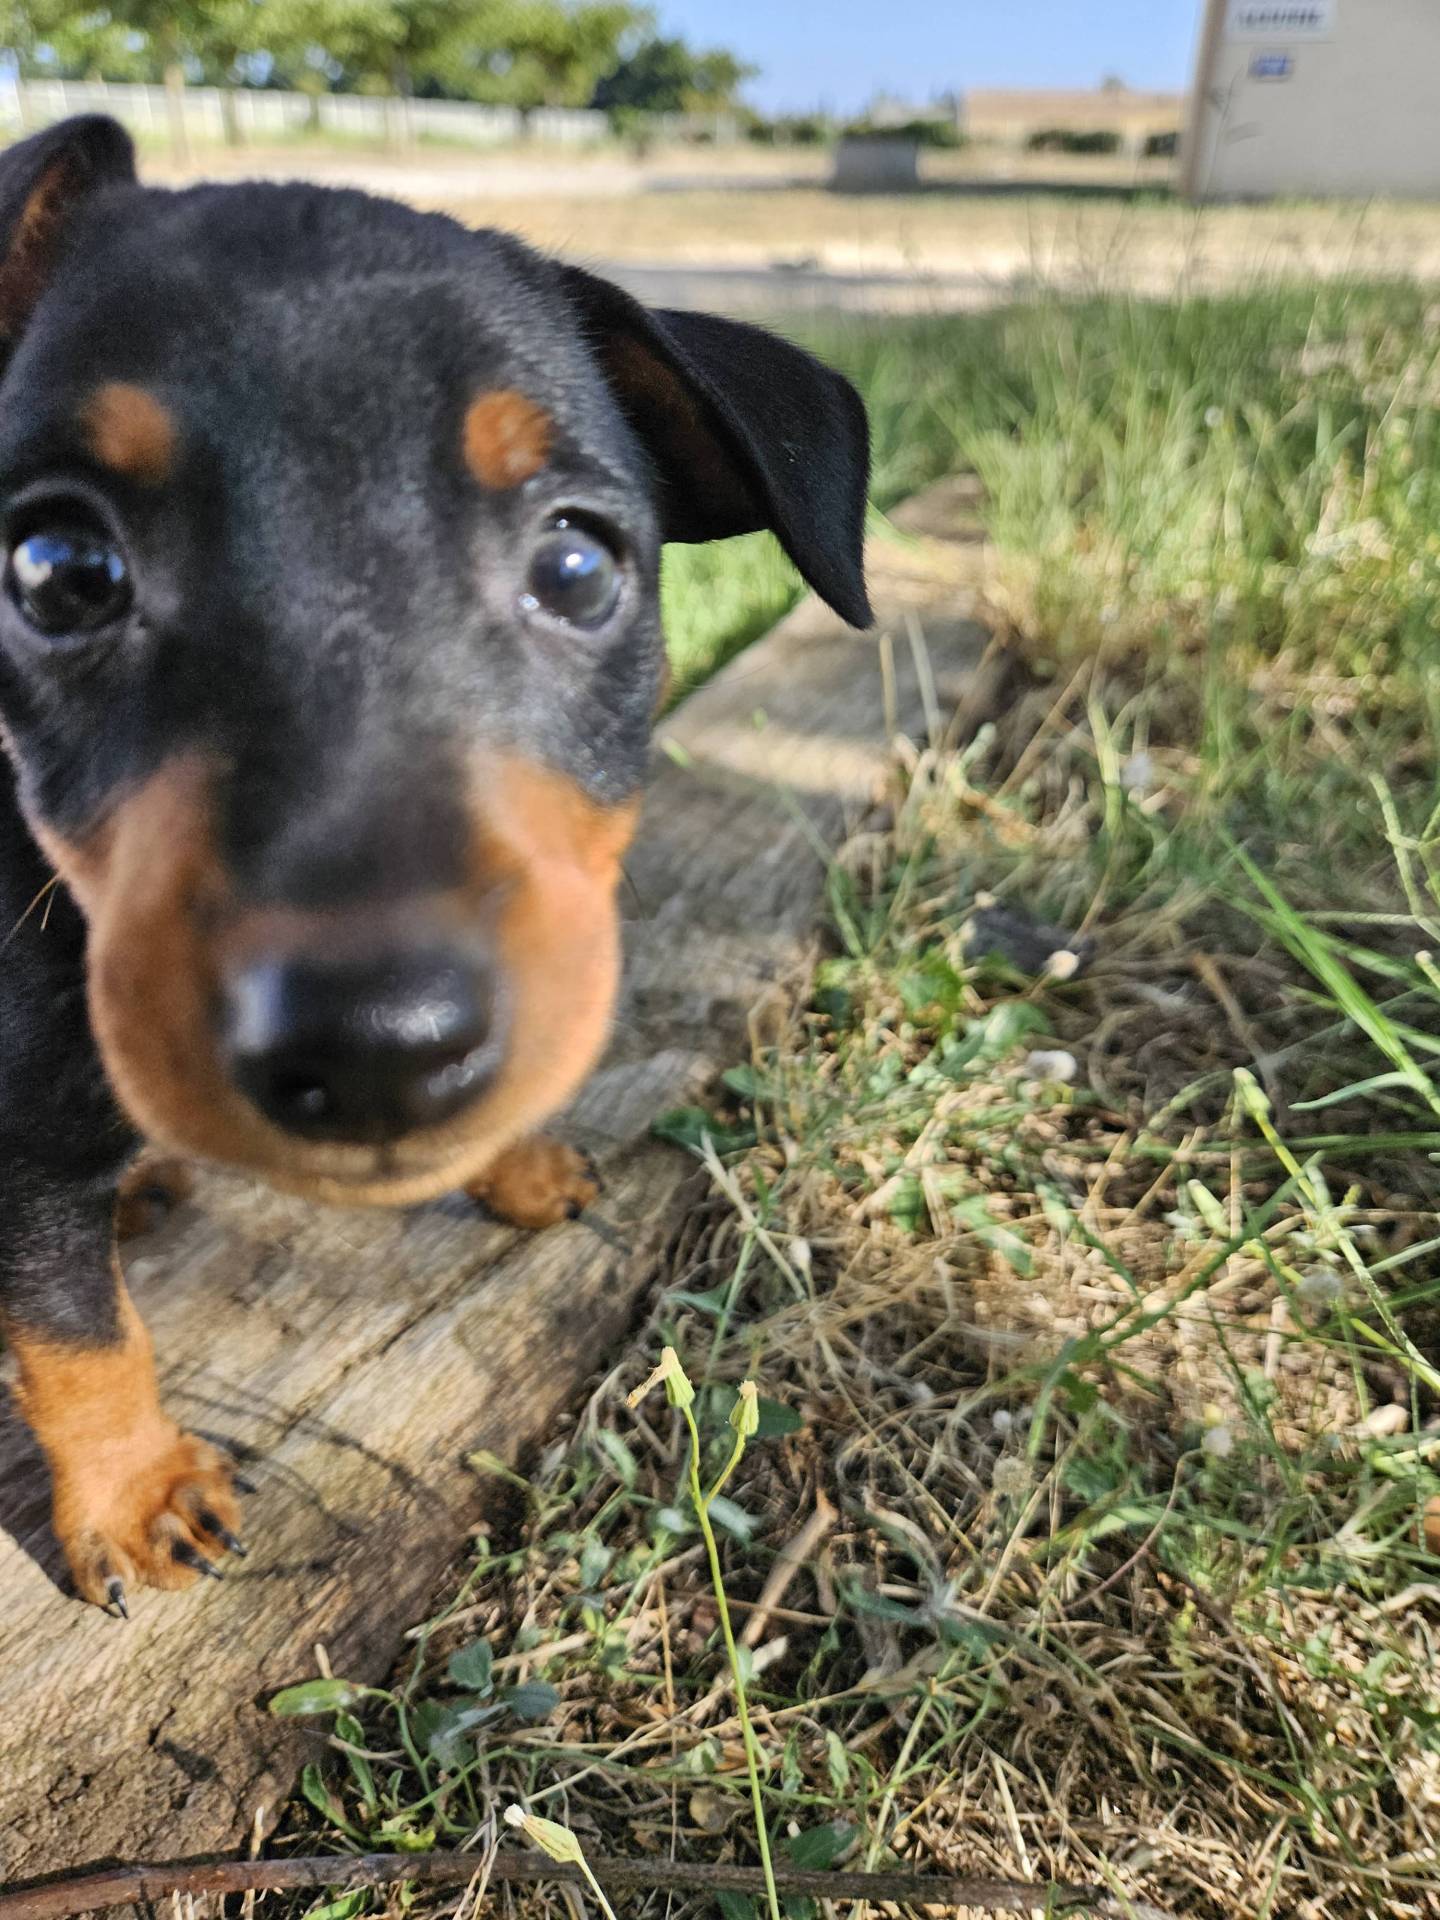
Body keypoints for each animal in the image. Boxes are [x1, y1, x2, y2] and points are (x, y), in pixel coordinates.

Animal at [0, 120, 875, 1612]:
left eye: (577, 563)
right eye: (59, 569)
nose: (377, 1050)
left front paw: (515, 1163)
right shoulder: (20, 1127)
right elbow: (76, 1333)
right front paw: (135, 1499)